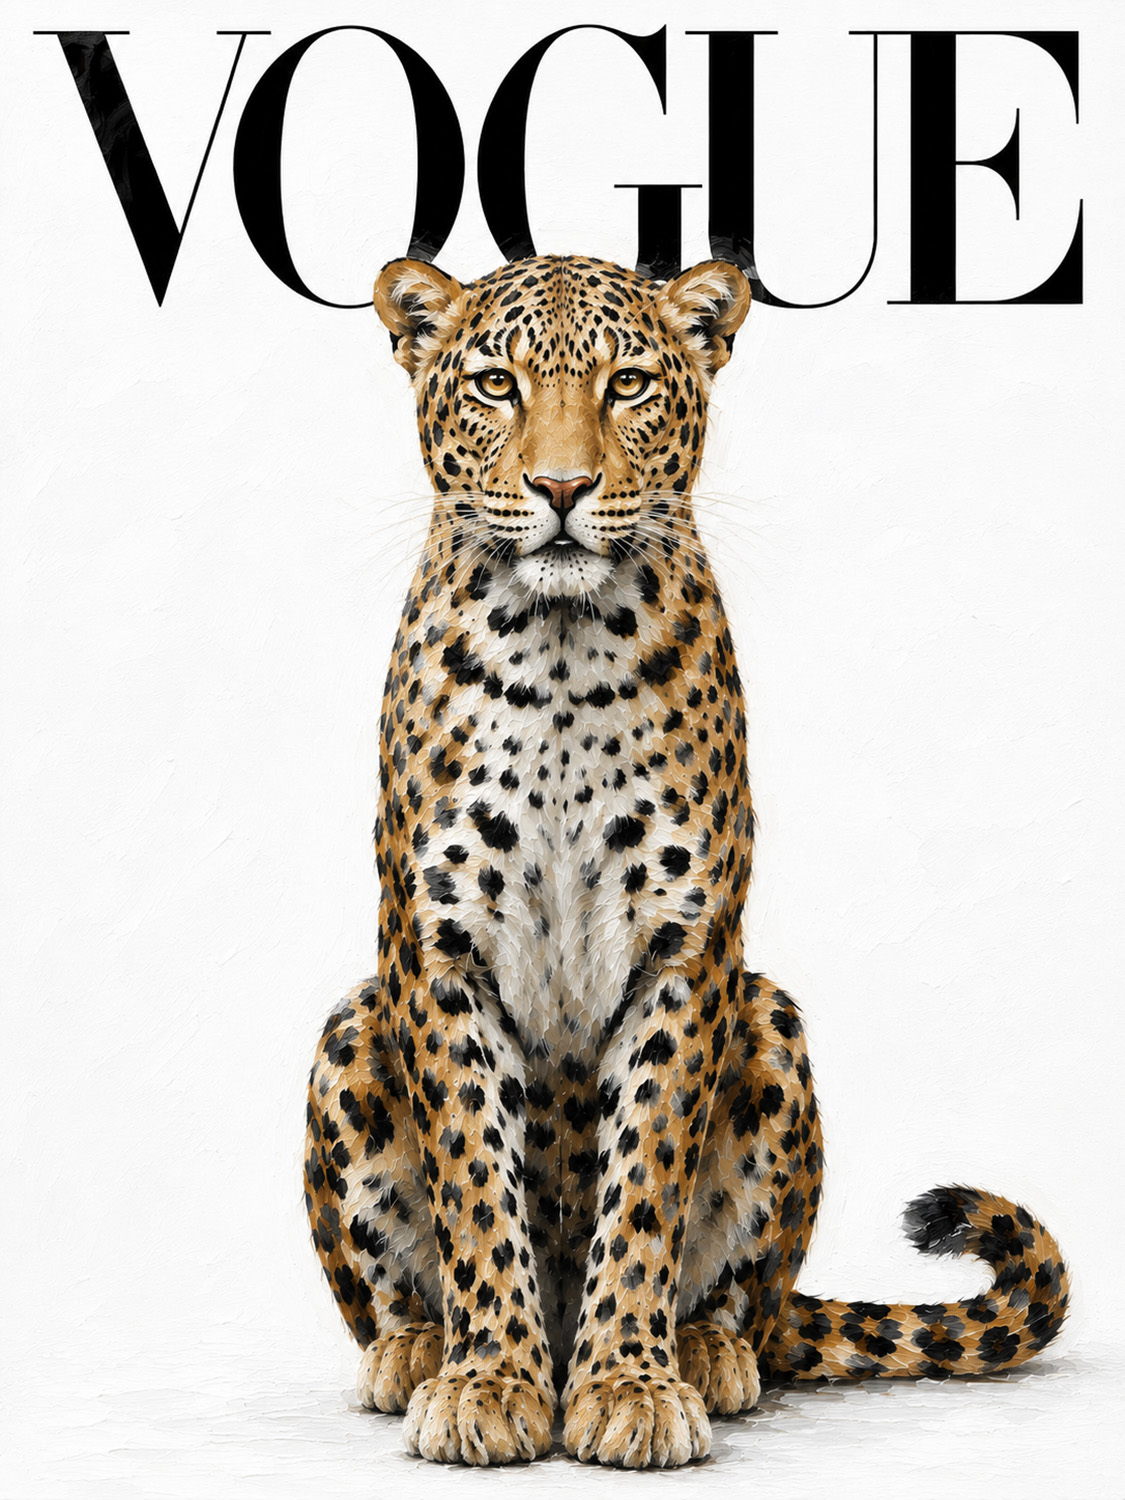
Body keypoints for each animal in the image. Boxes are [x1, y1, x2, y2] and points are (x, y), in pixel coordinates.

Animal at [304, 253, 1069, 1468]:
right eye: (493, 384)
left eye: (626, 385)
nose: (562, 486)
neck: (559, 650)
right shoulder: (437, 945)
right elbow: (473, 1179)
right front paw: (490, 1383)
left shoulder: (686, 946)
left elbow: (647, 1180)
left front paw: (628, 1385)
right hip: (350, 1024)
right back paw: (416, 1351)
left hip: (772, 1020)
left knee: (752, 1302)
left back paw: (708, 1354)